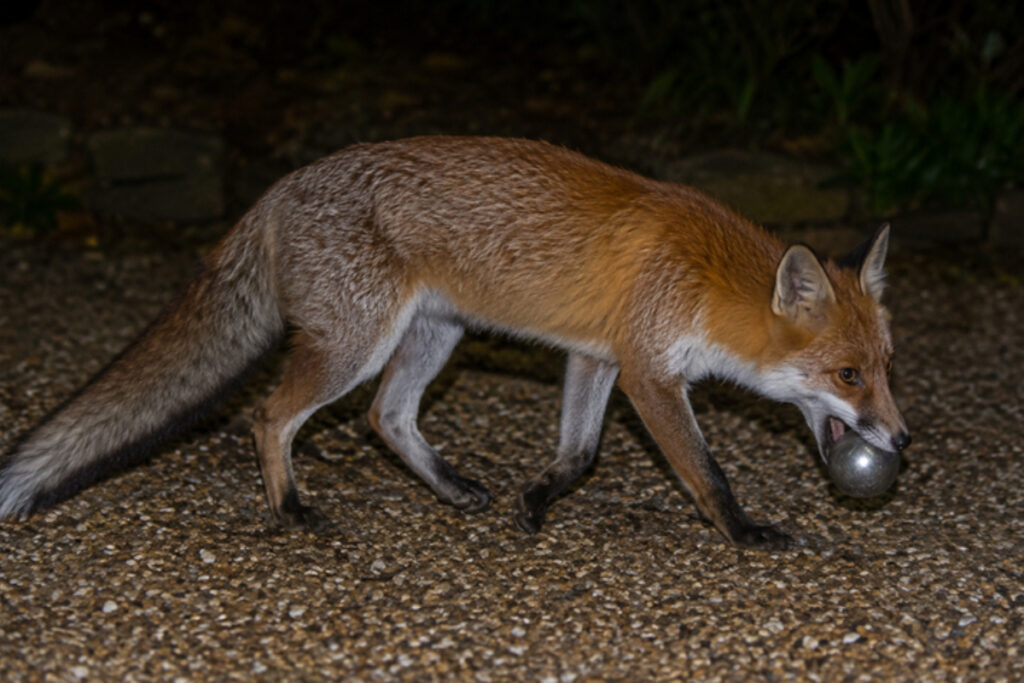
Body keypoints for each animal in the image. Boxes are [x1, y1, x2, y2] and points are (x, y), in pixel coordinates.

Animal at [0, 136, 910, 549]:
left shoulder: (599, 353)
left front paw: (535, 501)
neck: (705, 277)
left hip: (433, 337)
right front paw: (745, 531)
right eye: (847, 373)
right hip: (357, 344)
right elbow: (705, 472)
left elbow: (580, 454)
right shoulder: (650, 373)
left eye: (886, 369)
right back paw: (290, 507)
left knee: (385, 419)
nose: (902, 439)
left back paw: (450, 489)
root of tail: (278, 188)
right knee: (270, 416)